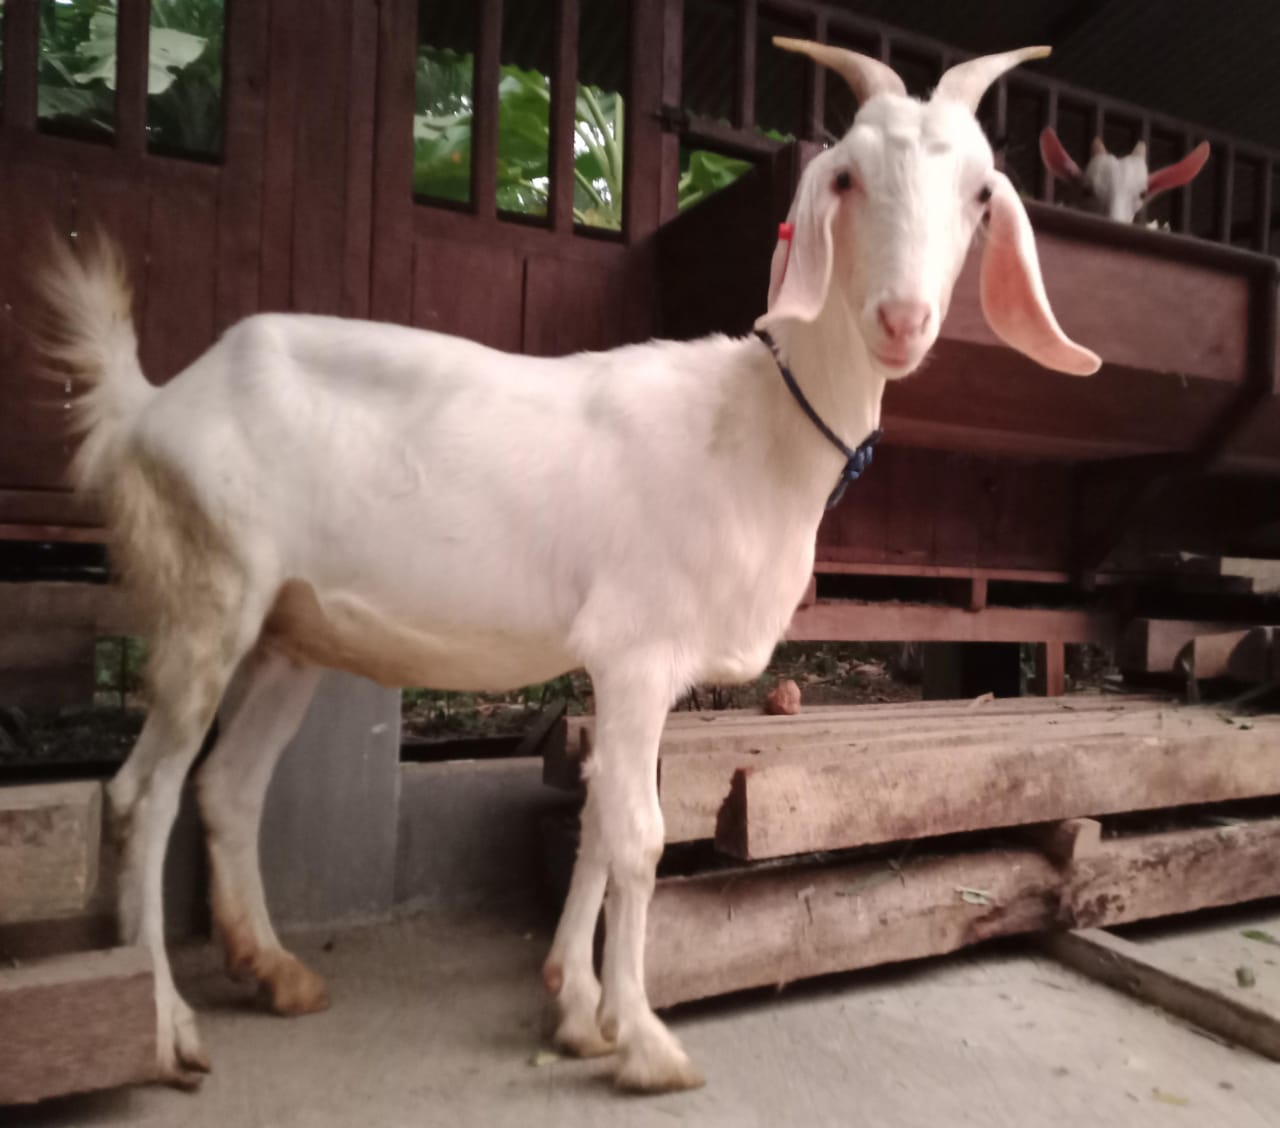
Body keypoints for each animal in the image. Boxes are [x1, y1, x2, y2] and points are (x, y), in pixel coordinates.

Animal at [36, 38, 1098, 1096]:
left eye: (979, 195)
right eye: (847, 176)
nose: (903, 319)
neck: (754, 423)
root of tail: (151, 403)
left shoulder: (630, 672)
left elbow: (595, 819)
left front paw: (579, 1009)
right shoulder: (635, 650)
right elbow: (638, 835)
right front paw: (644, 1040)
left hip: (290, 631)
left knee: (228, 786)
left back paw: (273, 970)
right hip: (206, 593)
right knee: (143, 794)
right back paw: (166, 1028)